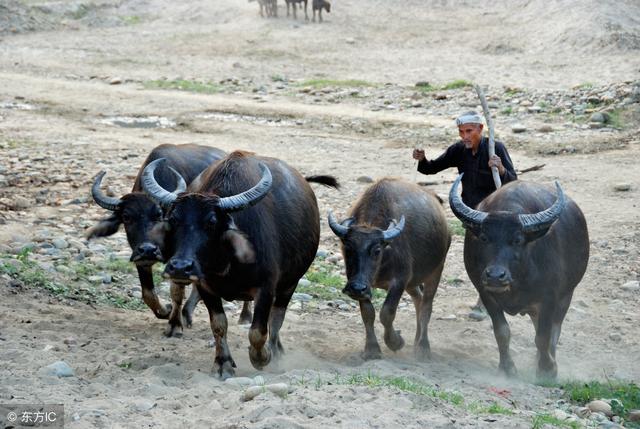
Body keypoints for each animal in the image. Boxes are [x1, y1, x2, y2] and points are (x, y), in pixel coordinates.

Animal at [85, 142, 252, 336]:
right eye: (126, 217)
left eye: (159, 214)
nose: (148, 249)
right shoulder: (141, 257)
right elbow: (148, 293)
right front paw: (165, 311)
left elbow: (176, 291)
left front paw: (174, 324)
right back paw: (187, 313)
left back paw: (245, 316)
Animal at [142, 150, 338, 378]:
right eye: (173, 219)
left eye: (211, 222)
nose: (180, 267)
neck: (227, 260)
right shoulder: (205, 286)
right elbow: (219, 325)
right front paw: (223, 364)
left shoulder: (266, 288)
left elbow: (258, 331)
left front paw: (262, 357)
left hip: (290, 283)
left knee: (277, 318)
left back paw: (275, 352)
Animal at [330, 178, 450, 362]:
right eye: (348, 248)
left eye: (377, 250)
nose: (356, 288)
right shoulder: (364, 285)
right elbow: (368, 314)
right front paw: (372, 350)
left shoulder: (399, 281)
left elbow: (387, 313)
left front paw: (396, 342)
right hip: (412, 282)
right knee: (418, 299)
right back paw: (416, 341)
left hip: (436, 270)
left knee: (427, 306)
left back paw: (423, 347)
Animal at [450, 174, 592, 378]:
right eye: (484, 238)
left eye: (517, 240)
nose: (495, 276)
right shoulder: (486, 294)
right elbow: (502, 332)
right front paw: (507, 368)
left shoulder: (550, 297)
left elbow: (543, 336)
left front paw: (547, 370)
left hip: (567, 295)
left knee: (555, 329)